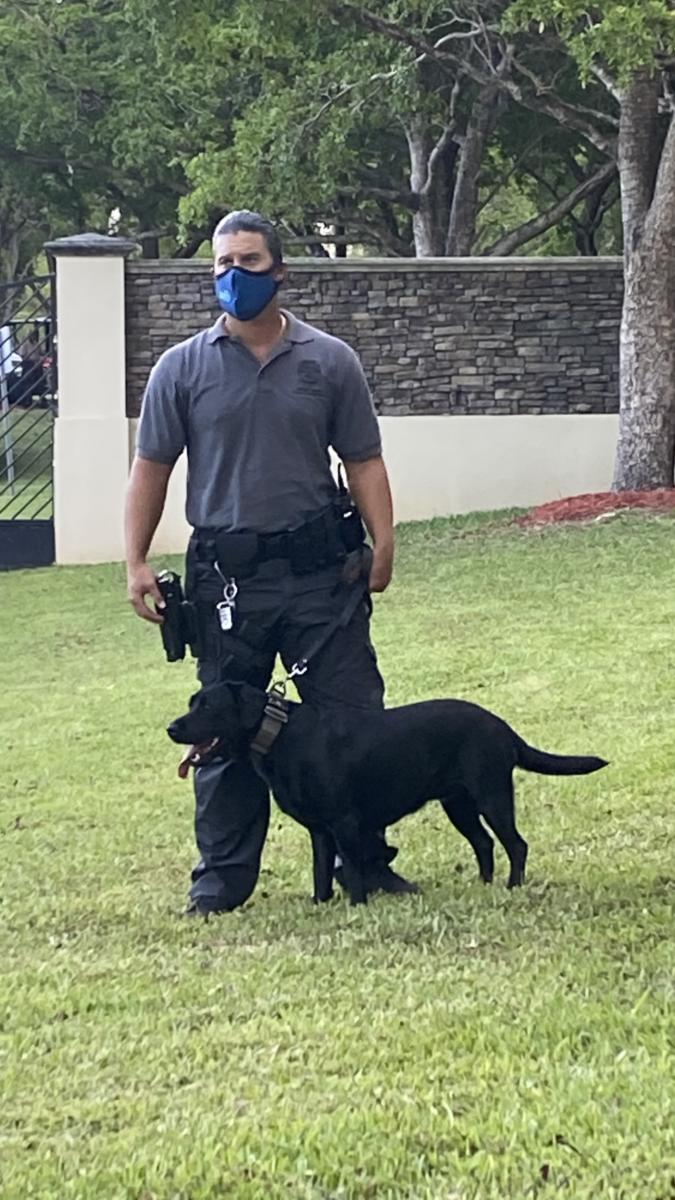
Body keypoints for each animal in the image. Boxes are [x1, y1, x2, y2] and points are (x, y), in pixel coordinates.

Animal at [167, 682, 607, 905]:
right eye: (192, 701)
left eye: (208, 706)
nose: (171, 727)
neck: (278, 736)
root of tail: (502, 725)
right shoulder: (320, 830)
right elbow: (321, 872)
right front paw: (321, 906)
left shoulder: (345, 822)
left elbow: (354, 869)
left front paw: (357, 907)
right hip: (458, 803)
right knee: (484, 843)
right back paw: (483, 885)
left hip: (492, 795)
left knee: (516, 844)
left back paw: (512, 888)